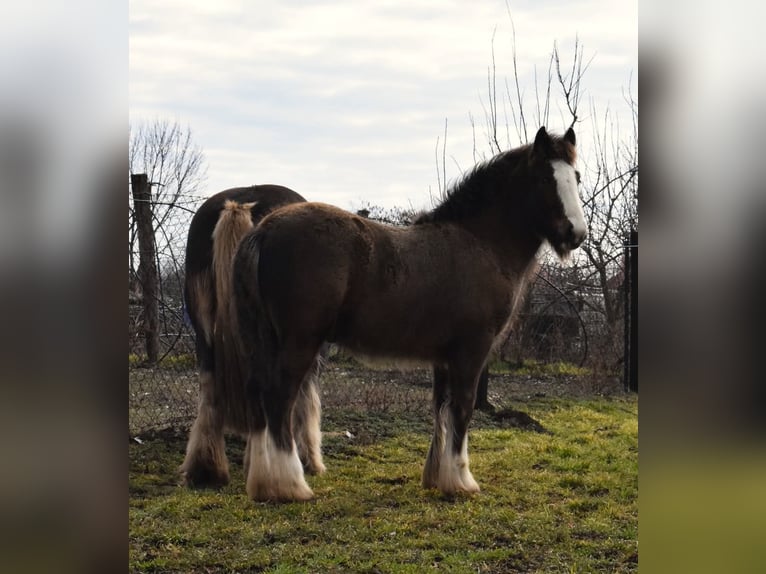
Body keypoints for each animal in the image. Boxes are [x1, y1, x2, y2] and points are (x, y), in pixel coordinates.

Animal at [228, 127, 588, 504]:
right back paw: (291, 485)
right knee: (278, 398)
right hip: (299, 343)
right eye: (545, 178)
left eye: (576, 177)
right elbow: (462, 408)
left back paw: (263, 482)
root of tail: (264, 230)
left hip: (262, 340)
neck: (480, 243)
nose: (575, 233)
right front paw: (462, 480)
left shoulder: (444, 357)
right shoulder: (471, 351)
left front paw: (439, 478)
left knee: (257, 397)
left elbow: (440, 408)